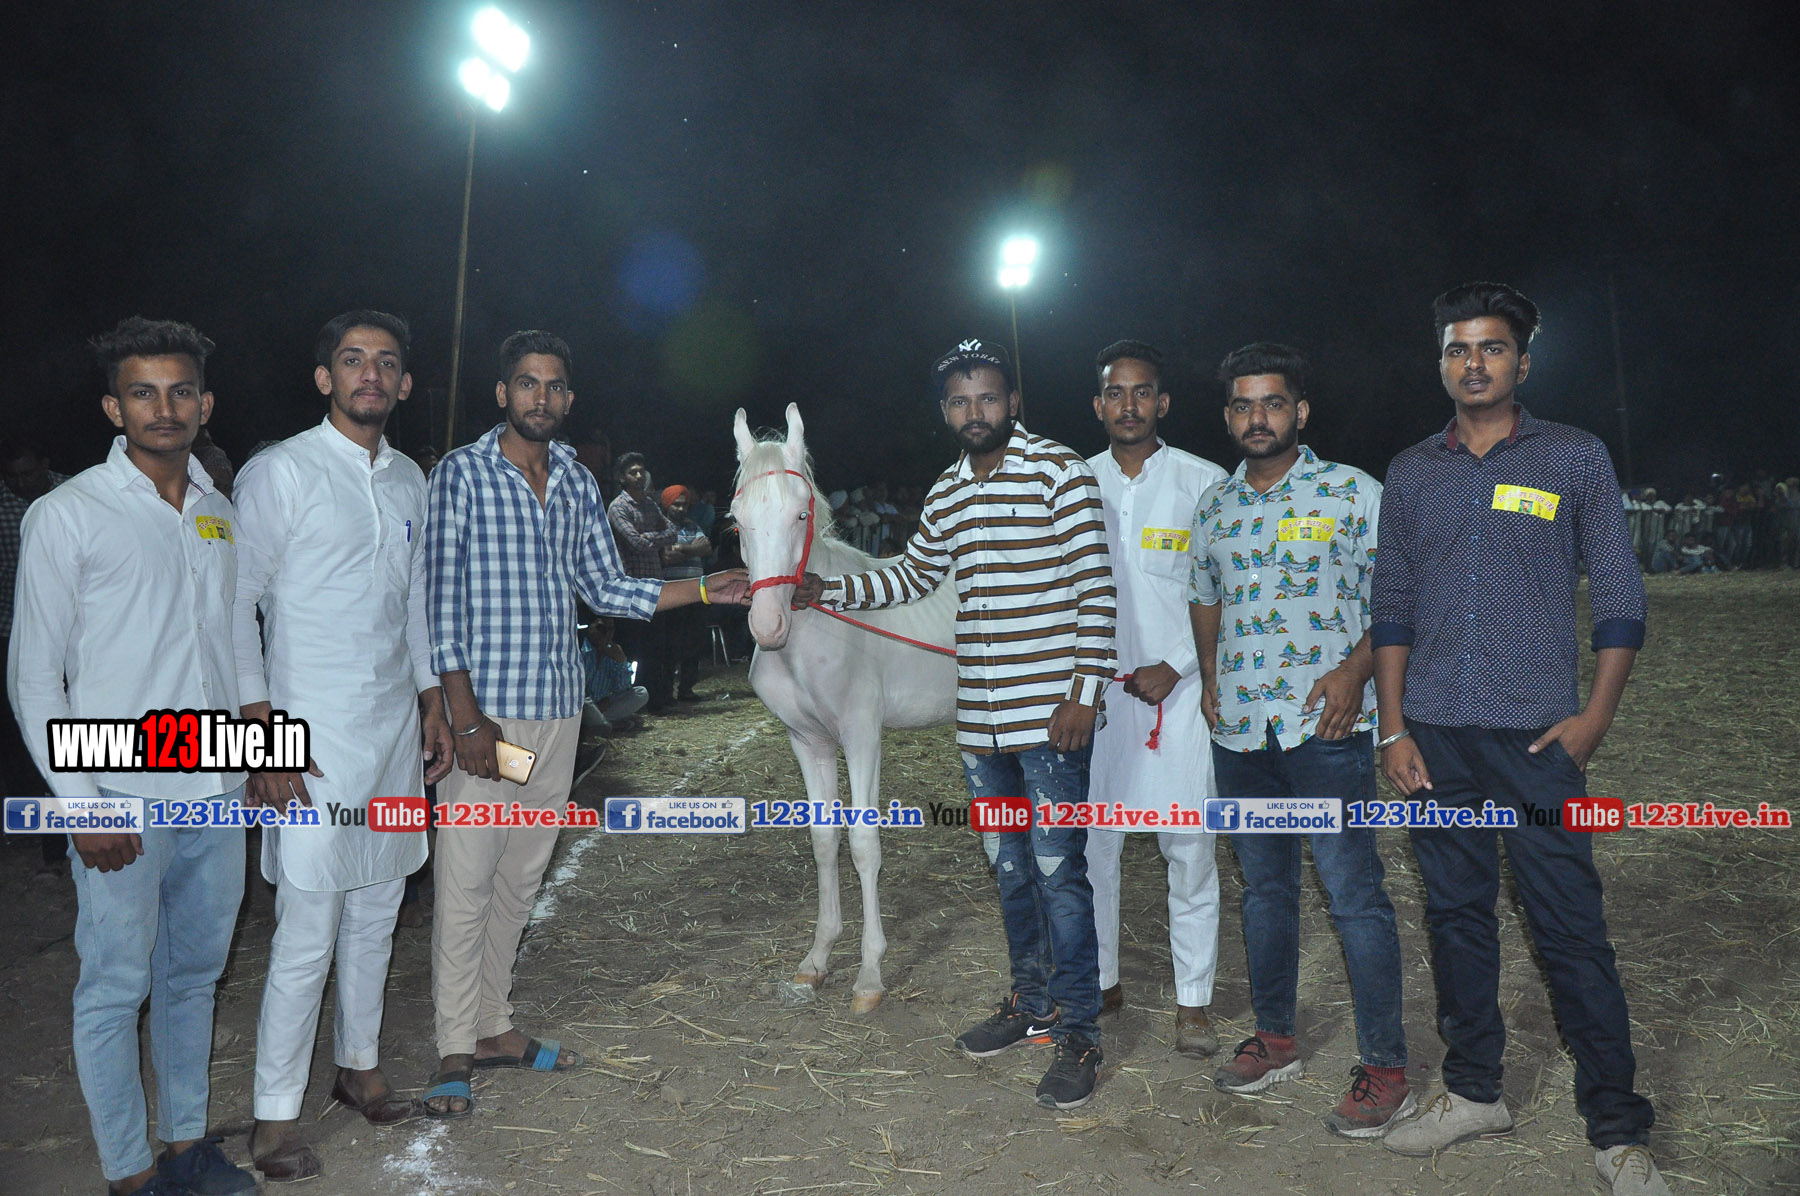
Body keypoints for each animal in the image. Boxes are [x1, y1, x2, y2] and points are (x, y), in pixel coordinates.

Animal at [731, 404, 957, 1013]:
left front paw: (870, 974)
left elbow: (862, 843)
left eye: (801, 513)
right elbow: (823, 839)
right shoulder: (807, 741)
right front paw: (816, 959)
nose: (768, 625)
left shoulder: (862, 736)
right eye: (736, 522)